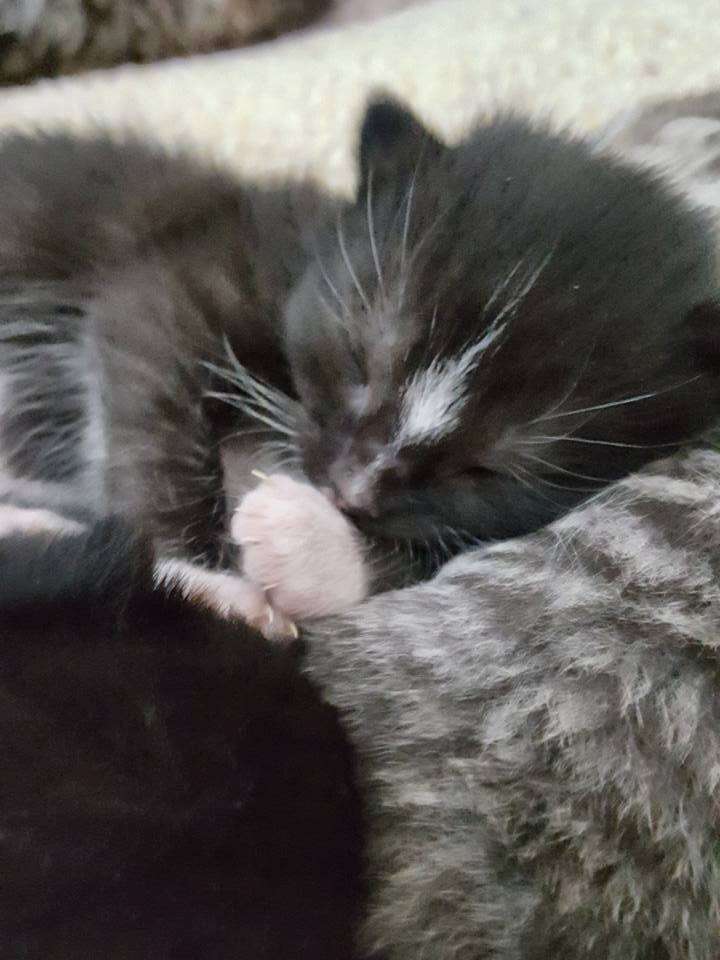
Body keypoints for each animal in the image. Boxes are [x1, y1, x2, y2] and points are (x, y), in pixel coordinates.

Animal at [1, 97, 720, 624]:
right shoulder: (185, 273)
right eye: (356, 359)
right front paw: (198, 580)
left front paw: (312, 550)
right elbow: (152, 403)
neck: (311, 245)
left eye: (487, 471)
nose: (349, 488)